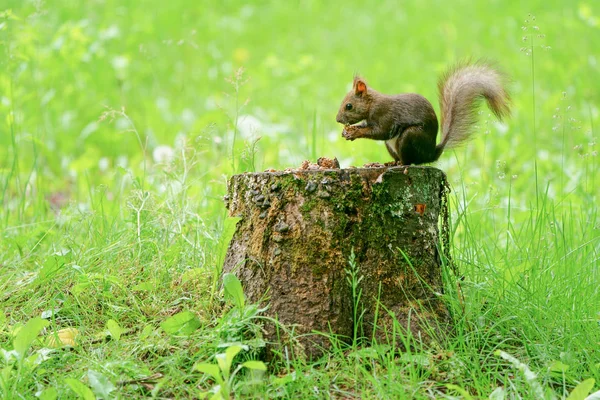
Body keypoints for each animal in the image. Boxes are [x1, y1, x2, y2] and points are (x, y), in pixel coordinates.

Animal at [336, 61, 508, 164]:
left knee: (411, 161)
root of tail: (431, 154)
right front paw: (349, 132)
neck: (372, 105)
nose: (338, 120)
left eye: (349, 106)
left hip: (410, 137)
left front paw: (356, 132)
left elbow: (380, 132)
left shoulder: (385, 116)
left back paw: (401, 164)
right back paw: (392, 162)